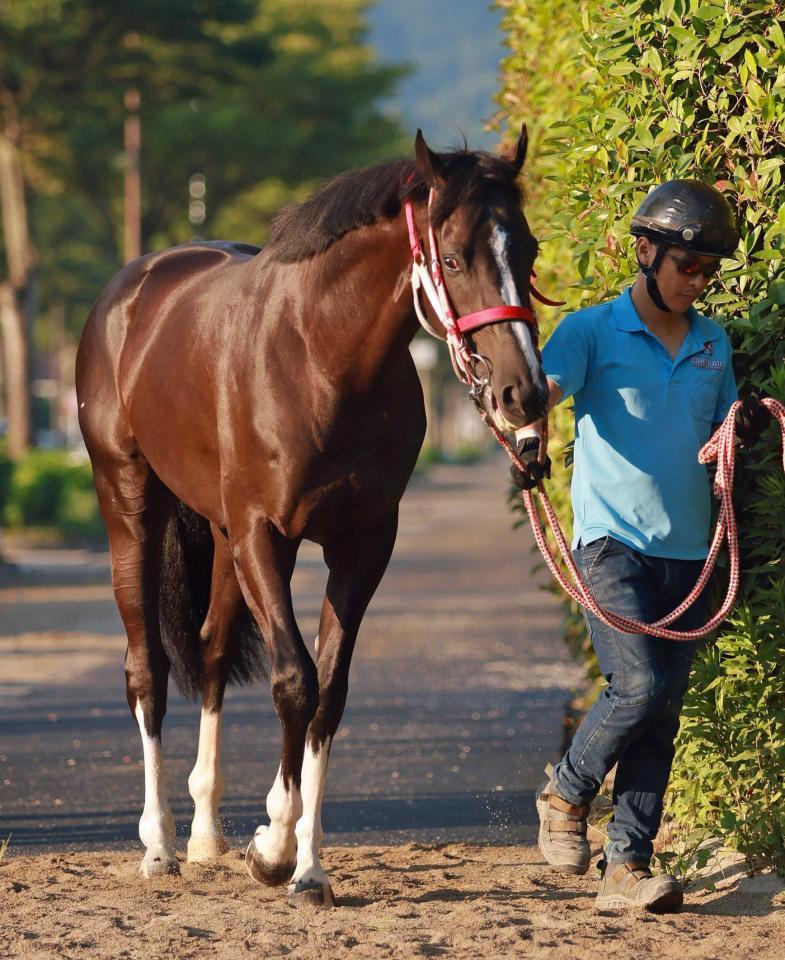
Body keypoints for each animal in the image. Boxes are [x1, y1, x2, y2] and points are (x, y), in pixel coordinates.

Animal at [76, 129, 548, 908]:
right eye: (452, 259)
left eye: (530, 251)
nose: (524, 393)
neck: (319, 358)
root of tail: (132, 286)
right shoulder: (265, 534)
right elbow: (295, 679)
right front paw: (272, 847)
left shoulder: (362, 544)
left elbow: (330, 690)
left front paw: (308, 866)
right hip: (131, 504)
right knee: (146, 669)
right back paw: (160, 845)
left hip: (225, 538)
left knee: (210, 650)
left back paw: (205, 834)